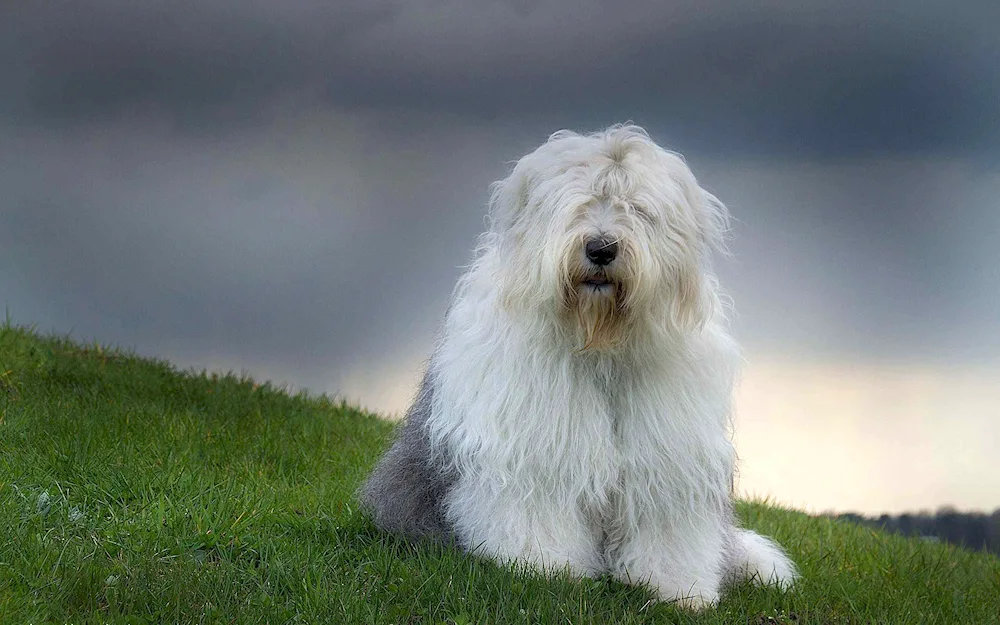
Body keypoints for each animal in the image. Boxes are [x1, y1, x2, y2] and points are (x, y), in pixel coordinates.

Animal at [360, 124, 796, 608]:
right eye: (578, 202)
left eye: (637, 208)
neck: (598, 343)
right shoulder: (535, 447)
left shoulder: (666, 458)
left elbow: (666, 525)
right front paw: (544, 569)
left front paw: (679, 590)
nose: (601, 248)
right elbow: (539, 507)